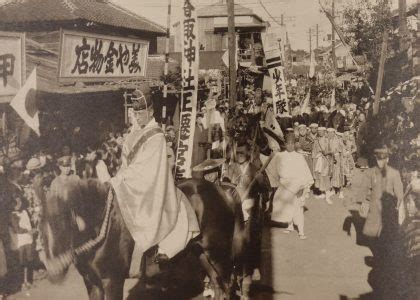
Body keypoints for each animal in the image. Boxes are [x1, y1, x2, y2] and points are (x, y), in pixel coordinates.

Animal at [38, 178, 246, 300]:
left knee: (227, 286)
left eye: (63, 220)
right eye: (42, 221)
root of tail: (222, 190)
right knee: (218, 286)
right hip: (202, 254)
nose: (54, 270)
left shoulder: (112, 280)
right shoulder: (92, 282)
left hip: (218, 254)